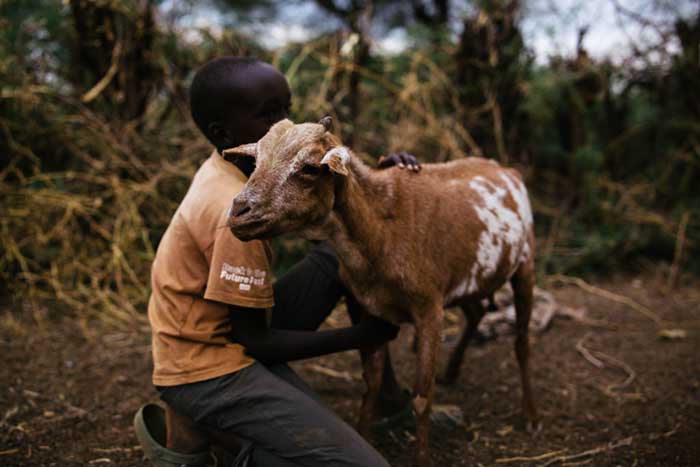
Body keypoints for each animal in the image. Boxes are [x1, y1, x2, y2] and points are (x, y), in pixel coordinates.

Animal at [227, 118, 540, 467]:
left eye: (309, 168)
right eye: (255, 160)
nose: (239, 211)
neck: (381, 229)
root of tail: (505, 169)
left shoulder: (429, 307)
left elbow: (422, 398)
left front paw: (421, 459)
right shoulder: (371, 307)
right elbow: (371, 382)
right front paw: (366, 433)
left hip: (525, 261)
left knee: (522, 342)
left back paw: (530, 416)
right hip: (469, 275)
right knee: (477, 312)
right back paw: (452, 370)